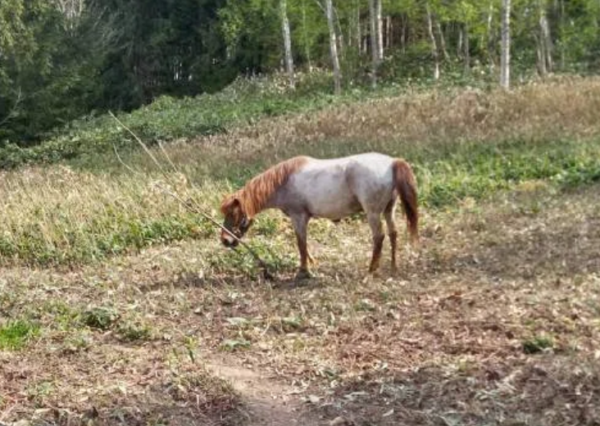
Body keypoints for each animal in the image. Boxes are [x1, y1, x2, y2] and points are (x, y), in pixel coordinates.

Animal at [218, 153, 420, 280]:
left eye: (233, 214)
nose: (225, 240)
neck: (283, 182)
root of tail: (392, 163)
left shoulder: (298, 216)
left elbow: (300, 243)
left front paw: (303, 271)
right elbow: (304, 243)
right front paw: (311, 263)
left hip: (373, 213)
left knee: (379, 237)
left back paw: (371, 269)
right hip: (388, 210)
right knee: (393, 234)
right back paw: (393, 267)